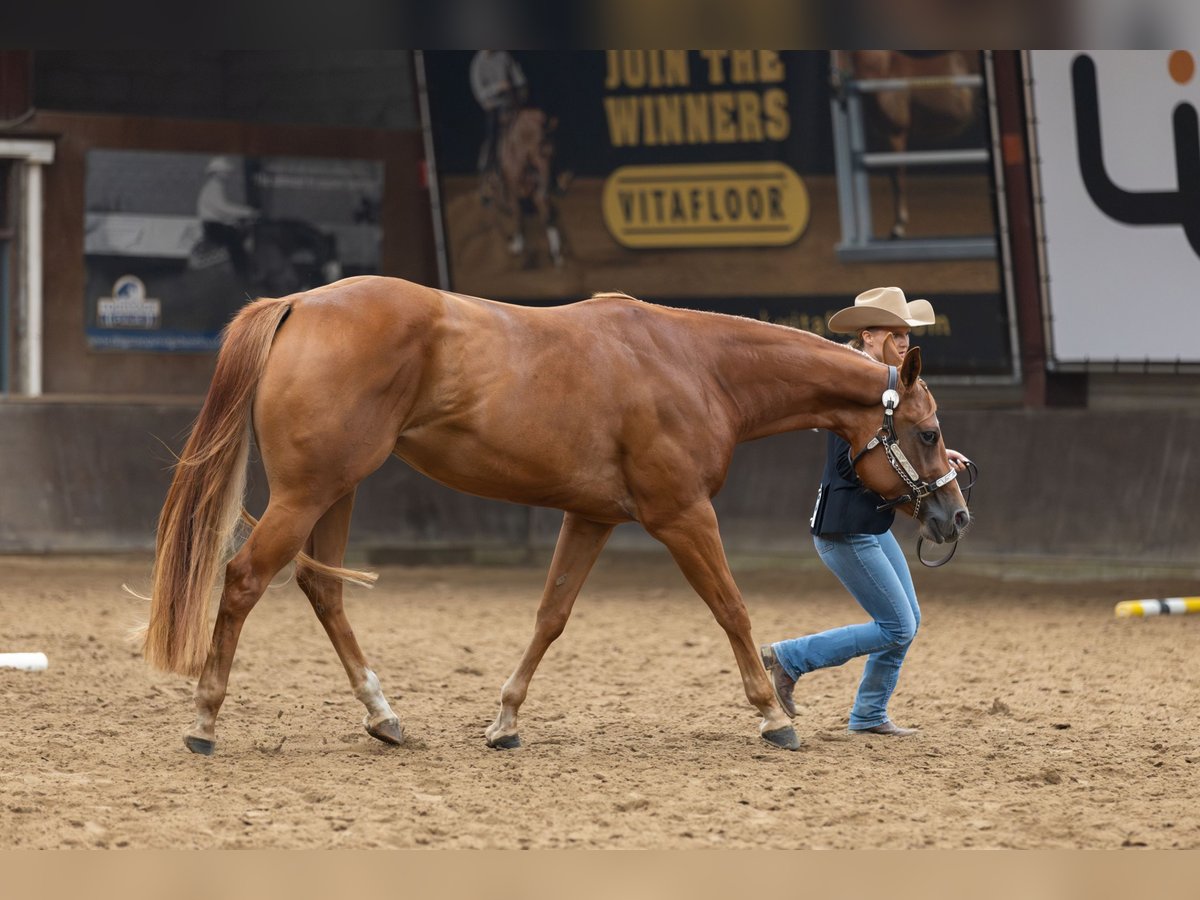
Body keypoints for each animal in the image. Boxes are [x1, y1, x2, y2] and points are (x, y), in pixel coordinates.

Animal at [140, 277, 969, 753]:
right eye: (929, 432)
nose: (954, 517)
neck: (695, 365)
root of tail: (298, 304)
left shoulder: (591, 517)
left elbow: (551, 616)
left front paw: (505, 721)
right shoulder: (681, 515)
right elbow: (731, 608)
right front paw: (773, 715)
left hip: (334, 489)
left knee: (323, 589)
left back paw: (383, 716)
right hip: (307, 492)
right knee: (244, 579)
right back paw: (204, 721)